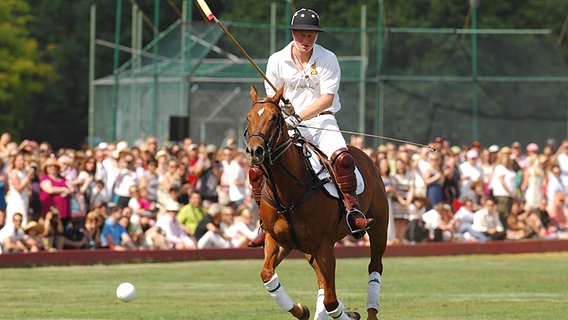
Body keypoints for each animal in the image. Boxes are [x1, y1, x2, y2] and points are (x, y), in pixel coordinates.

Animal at [246, 85, 388, 320]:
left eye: (275, 117)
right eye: (248, 117)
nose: (255, 150)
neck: (287, 195)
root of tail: (364, 155)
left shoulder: (324, 246)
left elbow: (331, 301)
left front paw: (349, 314)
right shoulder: (278, 241)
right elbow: (267, 274)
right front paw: (302, 310)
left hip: (379, 226)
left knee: (374, 266)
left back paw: (371, 312)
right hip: (306, 249)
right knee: (322, 282)